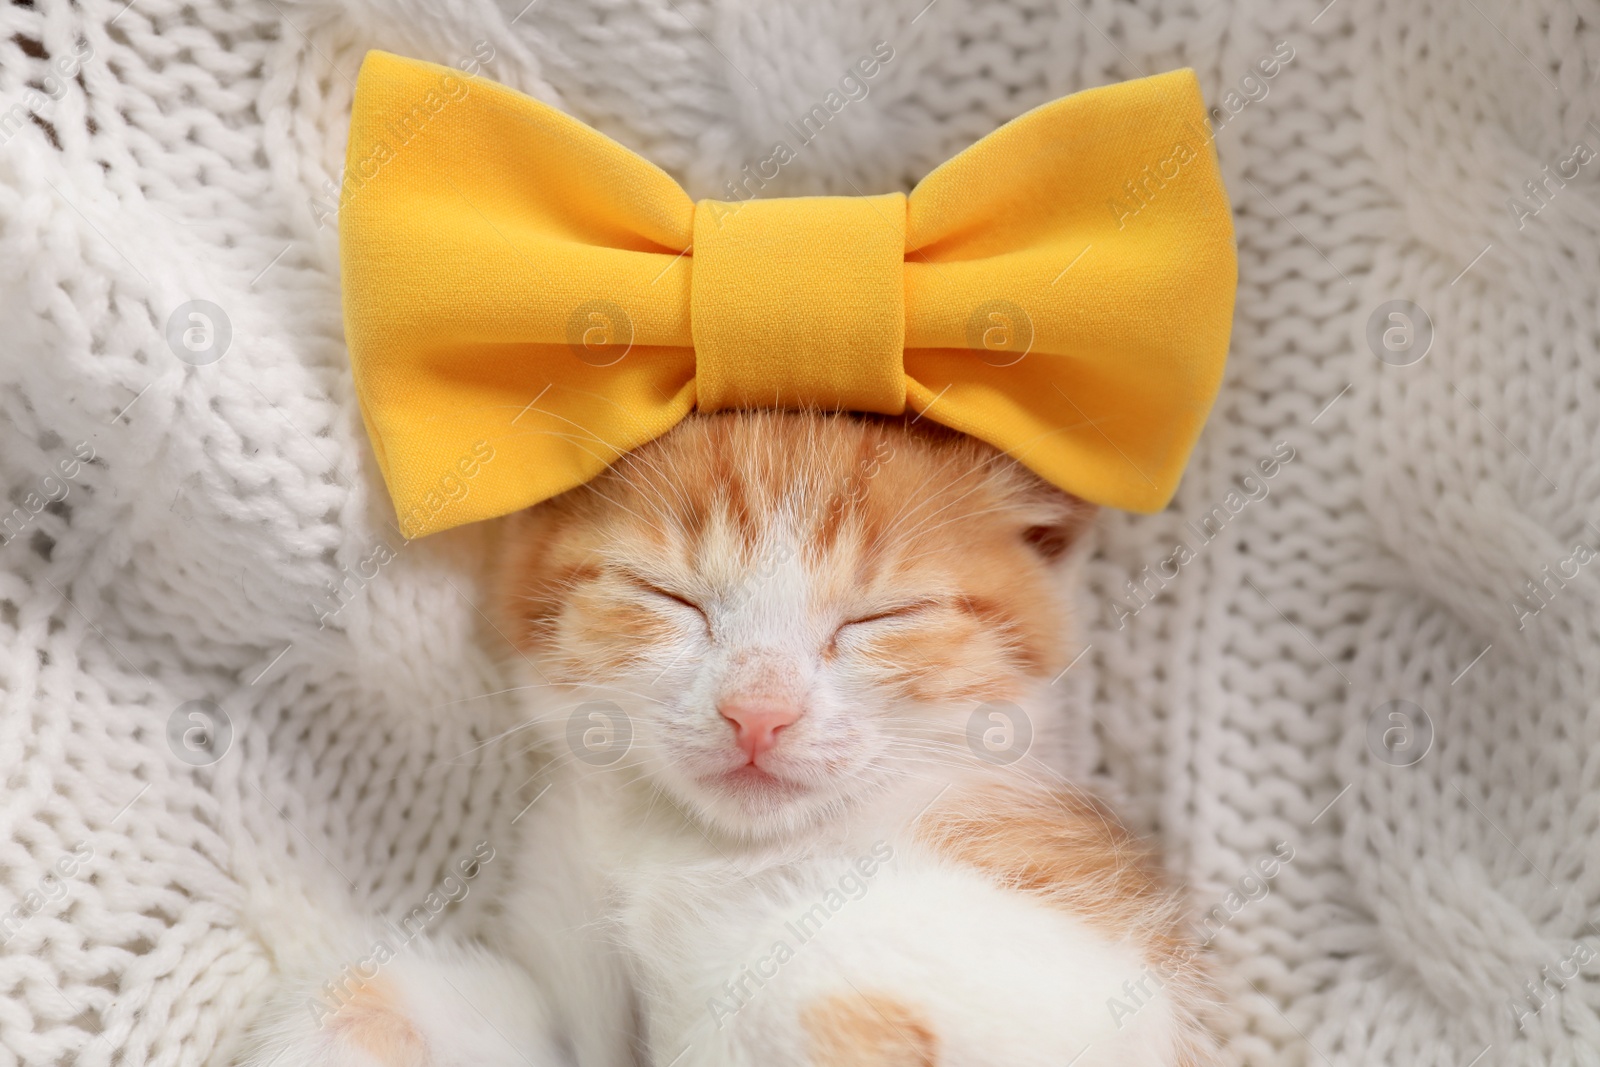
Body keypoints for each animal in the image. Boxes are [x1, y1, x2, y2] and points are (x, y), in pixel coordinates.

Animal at [243, 412, 1216, 1067]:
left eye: (882, 616)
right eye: (666, 594)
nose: (759, 711)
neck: (709, 851)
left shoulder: (1100, 987)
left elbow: (808, 983)